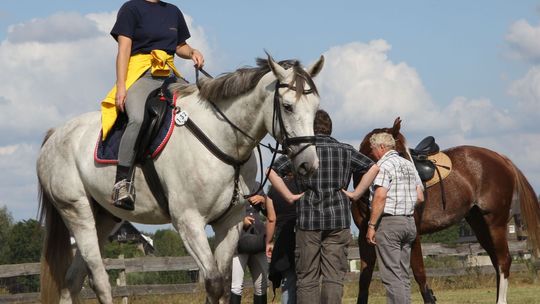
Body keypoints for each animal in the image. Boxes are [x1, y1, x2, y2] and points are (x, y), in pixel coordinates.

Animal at [37, 54, 324, 304]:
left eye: (315, 109)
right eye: (287, 107)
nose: (309, 164)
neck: (223, 139)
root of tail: (54, 135)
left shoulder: (229, 223)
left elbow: (224, 283)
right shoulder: (189, 222)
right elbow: (214, 282)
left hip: (104, 218)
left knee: (72, 281)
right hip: (78, 212)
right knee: (99, 281)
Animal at [354, 117, 540, 304]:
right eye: (397, 154)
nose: (417, 189)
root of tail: (502, 159)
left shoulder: (413, 235)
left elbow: (419, 274)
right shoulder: (366, 237)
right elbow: (364, 279)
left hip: (495, 223)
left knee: (503, 261)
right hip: (480, 225)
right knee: (496, 261)